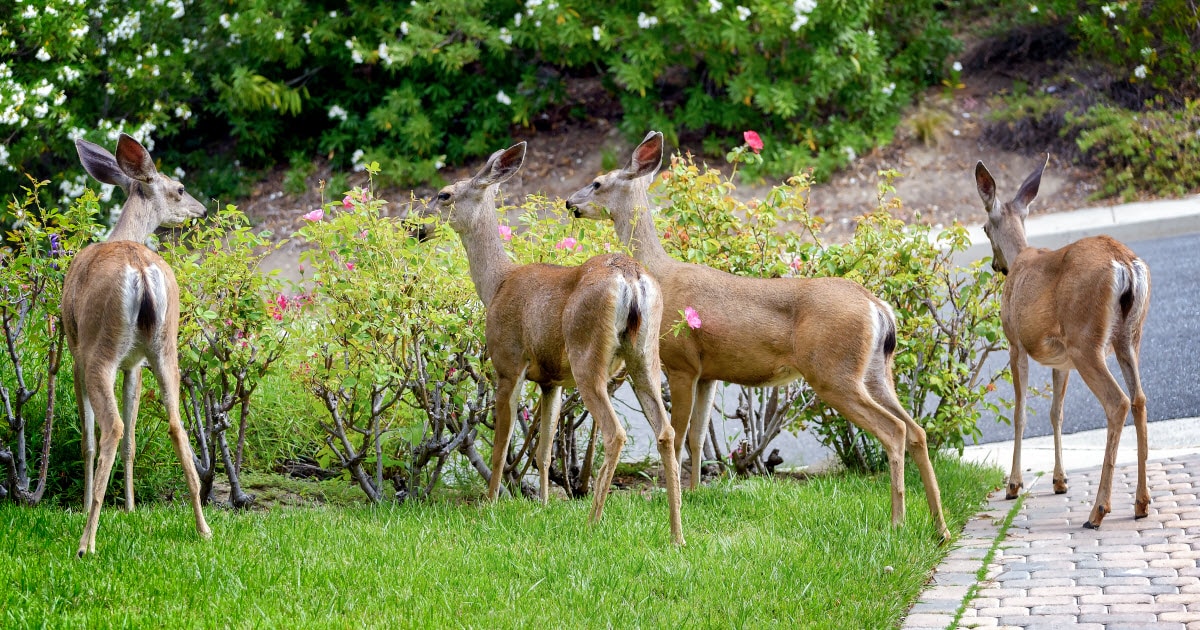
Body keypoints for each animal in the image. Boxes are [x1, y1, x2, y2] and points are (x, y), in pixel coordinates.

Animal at [64, 133, 210, 554]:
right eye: (180, 188)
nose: (201, 209)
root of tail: (141, 269)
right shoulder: (134, 363)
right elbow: (132, 437)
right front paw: (129, 507)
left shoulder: (75, 350)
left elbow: (89, 437)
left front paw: (86, 506)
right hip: (165, 348)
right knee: (175, 424)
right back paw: (203, 527)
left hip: (99, 350)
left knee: (111, 428)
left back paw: (87, 541)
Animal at [410, 139, 681, 542]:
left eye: (443, 195)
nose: (414, 227)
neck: (497, 285)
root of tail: (631, 278)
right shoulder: (552, 380)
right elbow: (543, 450)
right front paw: (542, 506)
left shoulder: (508, 362)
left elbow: (501, 445)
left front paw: (490, 504)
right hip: (645, 355)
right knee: (665, 430)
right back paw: (677, 534)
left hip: (587, 355)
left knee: (615, 432)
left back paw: (592, 523)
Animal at [566, 129, 950, 540]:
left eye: (597, 182)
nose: (571, 201)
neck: (661, 272)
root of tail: (877, 305)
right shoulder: (708, 372)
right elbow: (698, 435)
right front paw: (696, 492)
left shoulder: (681, 362)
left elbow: (679, 432)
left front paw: (678, 498)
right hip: (876, 370)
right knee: (917, 429)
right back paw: (939, 527)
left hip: (834, 371)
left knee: (894, 430)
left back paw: (898, 522)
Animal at [974, 156, 1152, 525]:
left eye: (984, 228)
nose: (997, 266)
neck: (1021, 257)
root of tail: (1125, 263)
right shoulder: (1061, 359)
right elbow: (1057, 412)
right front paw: (1060, 480)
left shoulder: (1015, 343)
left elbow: (1021, 412)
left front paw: (1013, 484)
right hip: (1128, 337)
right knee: (1139, 399)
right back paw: (1141, 503)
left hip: (1086, 340)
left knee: (1118, 401)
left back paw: (1098, 510)